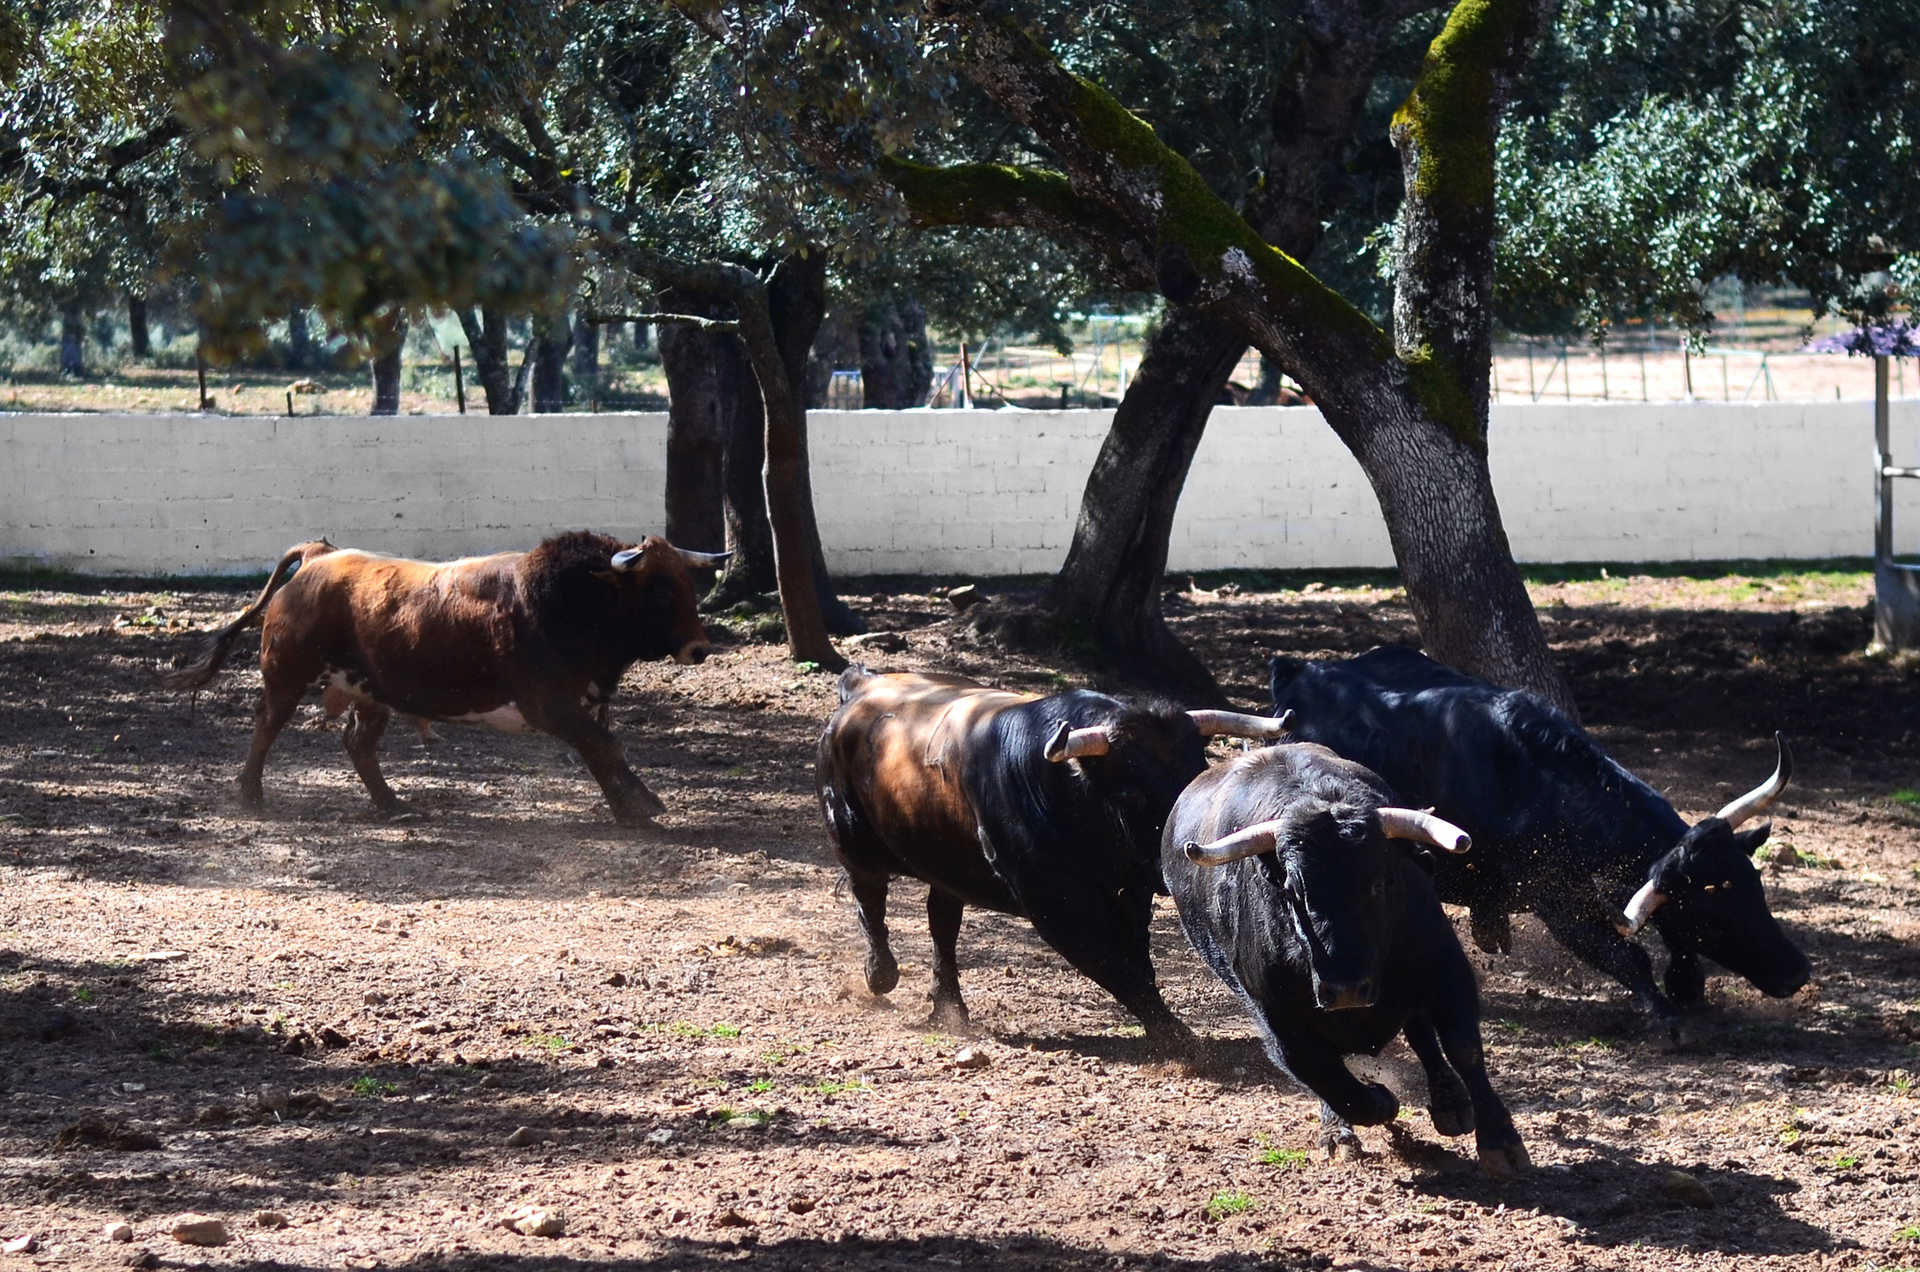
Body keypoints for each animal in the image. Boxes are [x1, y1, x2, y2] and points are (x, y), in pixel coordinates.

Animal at [159, 530, 721, 822]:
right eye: (660, 589)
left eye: (688, 583)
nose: (699, 647)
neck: (568, 600)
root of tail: (321, 557)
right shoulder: (551, 705)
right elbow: (604, 747)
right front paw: (638, 809)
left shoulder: (585, 704)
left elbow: (605, 749)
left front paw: (636, 804)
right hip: (287, 676)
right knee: (267, 724)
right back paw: (250, 793)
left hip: (371, 692)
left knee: (358, 744)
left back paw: (393, 805)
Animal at [1267, 653, 1804, 1029]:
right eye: (1713, 905)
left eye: (1753, 884)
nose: (1797, 971)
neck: (1532, 780)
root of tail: (1299, 670)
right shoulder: (1557, 901)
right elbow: (1624, 954)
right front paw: (1670, 1019)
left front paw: (1688, 989)